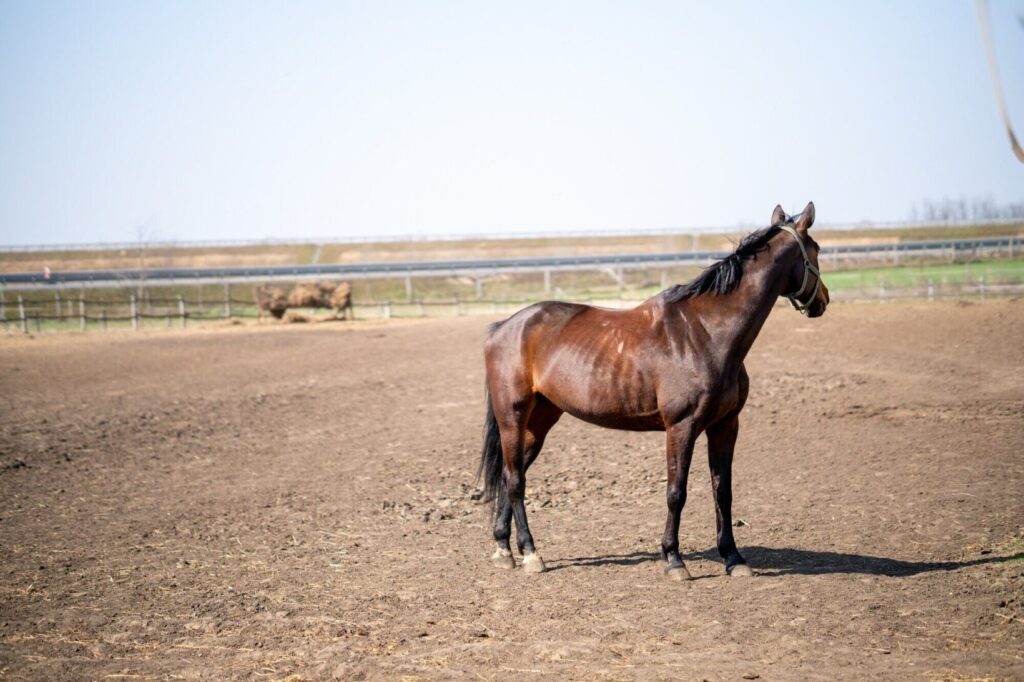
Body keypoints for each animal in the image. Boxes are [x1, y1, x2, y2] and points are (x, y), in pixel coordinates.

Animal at [475, 199, 827, 577]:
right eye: (817, 249)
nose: (823, 300)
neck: (707, 332)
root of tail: (502, 327)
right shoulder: (681, 426)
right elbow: (676, 492)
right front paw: (674, 559)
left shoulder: (725, 425)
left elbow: (723, 491)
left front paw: (733, 558)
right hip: (512, 416)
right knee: (514, 480)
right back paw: (530, 553)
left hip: (540, 419)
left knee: (512, 473)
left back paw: (504, 549)